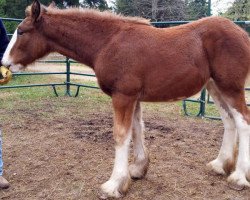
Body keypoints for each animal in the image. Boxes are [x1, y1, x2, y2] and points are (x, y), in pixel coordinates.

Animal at [2, 0, 250, 198]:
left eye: (21, 31)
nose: (5, 63)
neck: (107, 42)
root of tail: (243, 34)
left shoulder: (123, 96)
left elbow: (121, 135)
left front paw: (114, 184)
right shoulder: (134, 98)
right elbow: (137, 129)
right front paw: (138, 169)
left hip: (230, 88)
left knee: (243, 122)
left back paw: (238, 177)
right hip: (214, 87)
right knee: (229, 121)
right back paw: (220, 165)